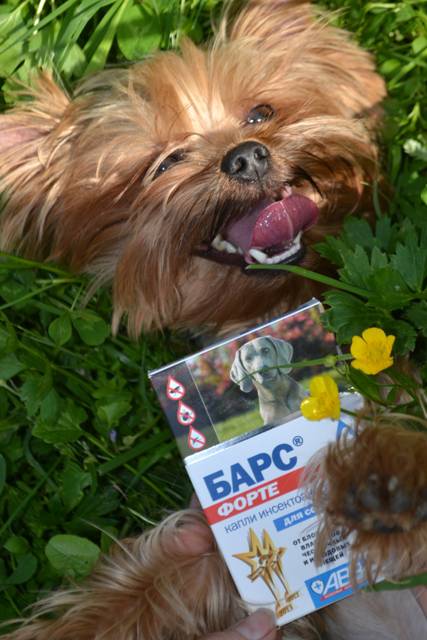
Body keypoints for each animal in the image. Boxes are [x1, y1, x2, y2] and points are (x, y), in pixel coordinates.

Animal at [1, 1, 425, 639]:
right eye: (166, 163)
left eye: (261, 112)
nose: (246, 154)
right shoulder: (214, 554)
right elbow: (135, 595)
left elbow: (407, 437)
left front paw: (383, 477)